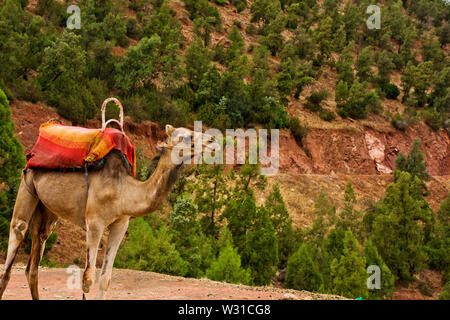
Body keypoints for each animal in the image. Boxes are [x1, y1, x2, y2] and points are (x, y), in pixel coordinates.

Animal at [0, 124, 218, 298]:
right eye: (186, 136)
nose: (212, 139)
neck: (123, 191)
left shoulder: (121, 224)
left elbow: (105, 279)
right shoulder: (94, 222)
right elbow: (88, 279)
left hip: (46, 208)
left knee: (34, 260)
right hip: (27, 183)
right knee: (14, 245)